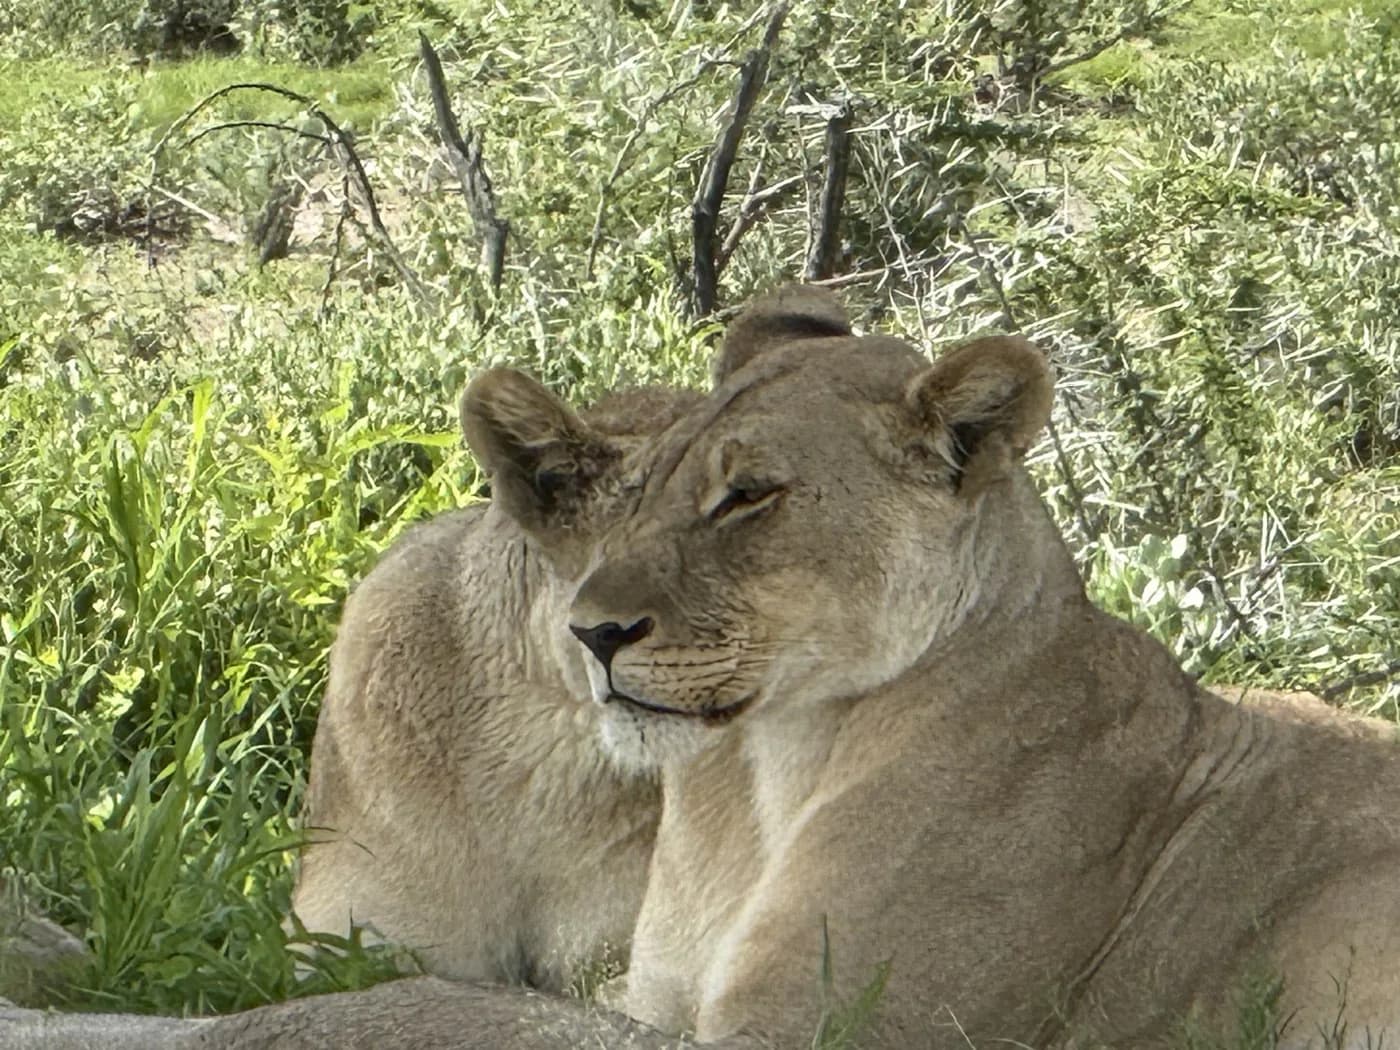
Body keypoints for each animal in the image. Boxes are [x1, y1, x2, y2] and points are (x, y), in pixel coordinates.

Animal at [461, 285, 1400, 1047]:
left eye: (748, 495)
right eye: (646, 489)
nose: (592, 633)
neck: (761, 779)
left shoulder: (836, 1023)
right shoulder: (658, 997)